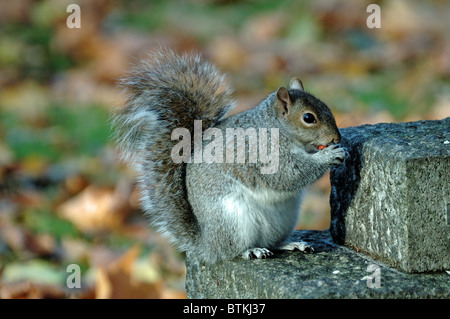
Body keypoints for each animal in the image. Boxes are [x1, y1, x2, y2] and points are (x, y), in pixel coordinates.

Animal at [112, 49, 344, 264]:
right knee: (231, 250)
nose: (336, 137)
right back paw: (251, 250)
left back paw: (290, 244)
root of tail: (207, 244)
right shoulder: (263, 152)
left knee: (273, 242)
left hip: (283, 219)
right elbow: (288, 174)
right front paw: (329, 155)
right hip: (233, 219)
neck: (277, 128)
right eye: (308, 118)